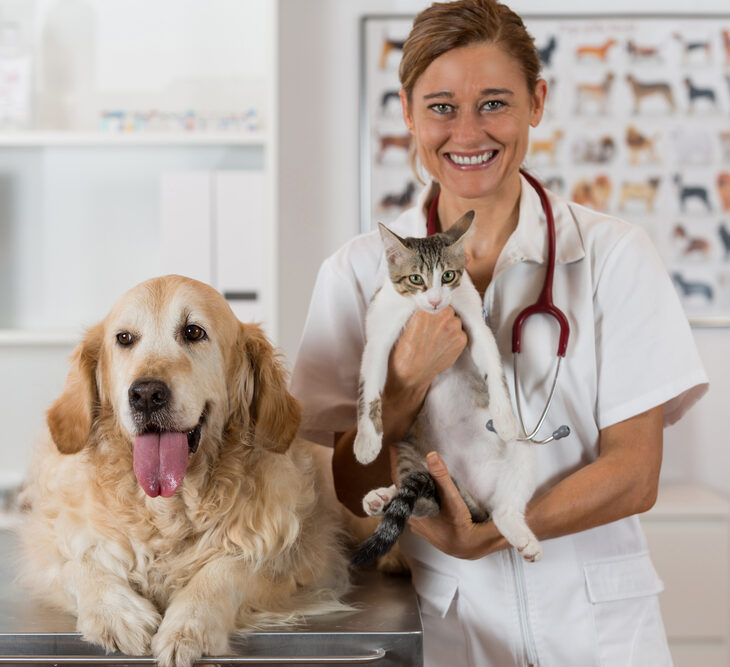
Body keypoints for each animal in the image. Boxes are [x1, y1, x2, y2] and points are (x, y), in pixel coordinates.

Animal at [18, 276, 354, 667]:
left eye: (193, 332)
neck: (168, 508)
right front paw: (117, 613)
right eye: (124, 338)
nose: (146, 394)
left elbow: (230, 570)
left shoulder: (306, 560)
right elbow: (75, 563)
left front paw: (189, 627)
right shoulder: (45, 548)